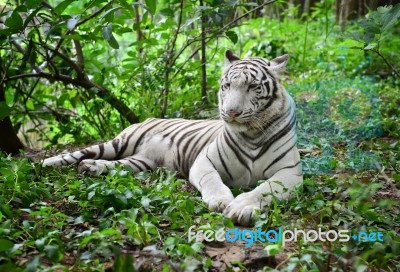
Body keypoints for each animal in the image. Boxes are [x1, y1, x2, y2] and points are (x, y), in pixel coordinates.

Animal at [42, 50, 304, 225]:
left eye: (252, 87)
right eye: (227, 86)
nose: (231, 112)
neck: (251, 133)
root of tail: (147, 118)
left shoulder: (290, 172)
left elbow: (265, 189)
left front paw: (241, 207)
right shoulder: (204, 162)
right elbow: (212, 180)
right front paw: (220, 201)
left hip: (140, 162)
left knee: (117, 166)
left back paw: (91, 167)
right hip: (118, 143)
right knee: (78, 153)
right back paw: (46, 163)